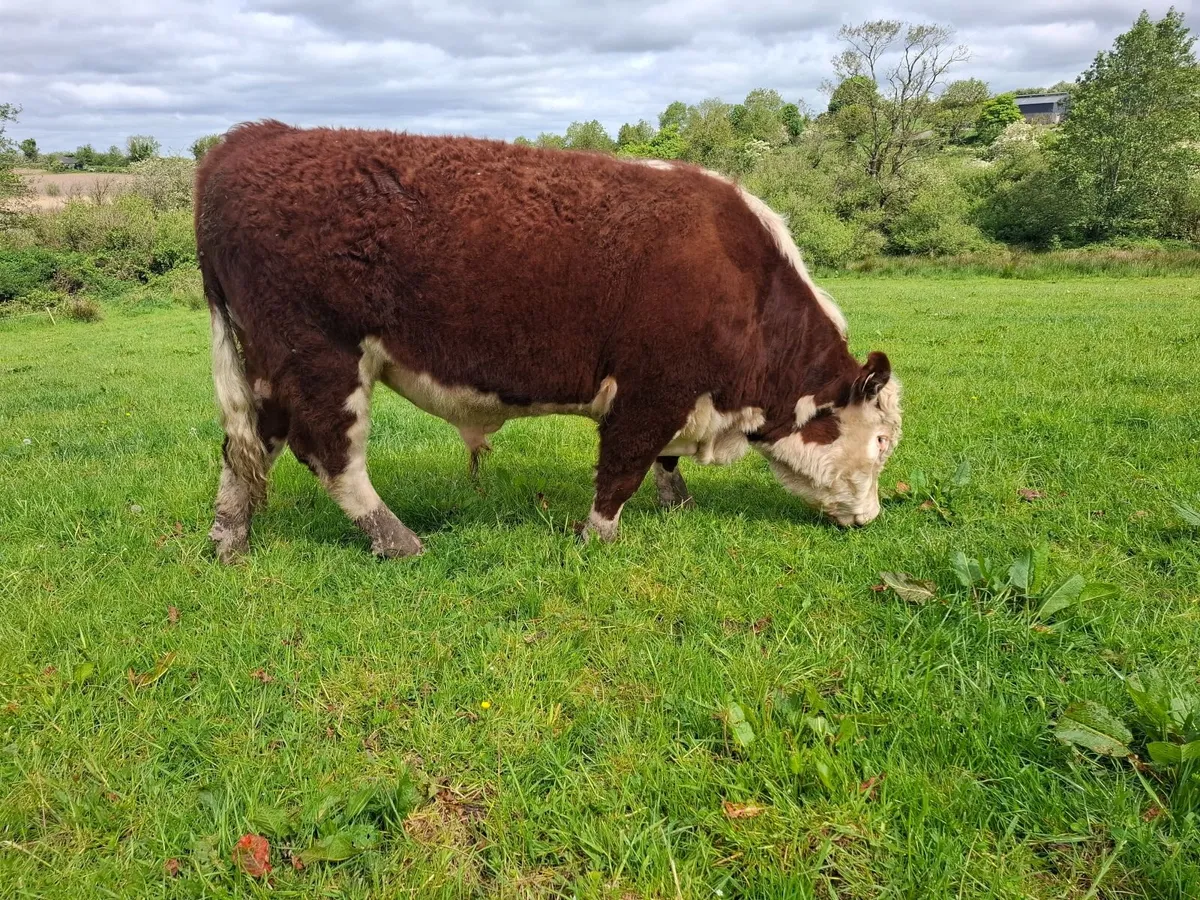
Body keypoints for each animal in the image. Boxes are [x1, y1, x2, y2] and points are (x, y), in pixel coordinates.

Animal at [195, 121, 902, 562]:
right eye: (881, 443)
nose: (871, 519)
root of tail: (248, 140)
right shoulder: (651, 390)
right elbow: (623, 466)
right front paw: (599, 537)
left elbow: (663, 463)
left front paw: (678, 504)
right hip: (319, 356)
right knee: (330, 457)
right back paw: (398, 541)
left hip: (271, 368)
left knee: (247, 448)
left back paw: (230, 542)